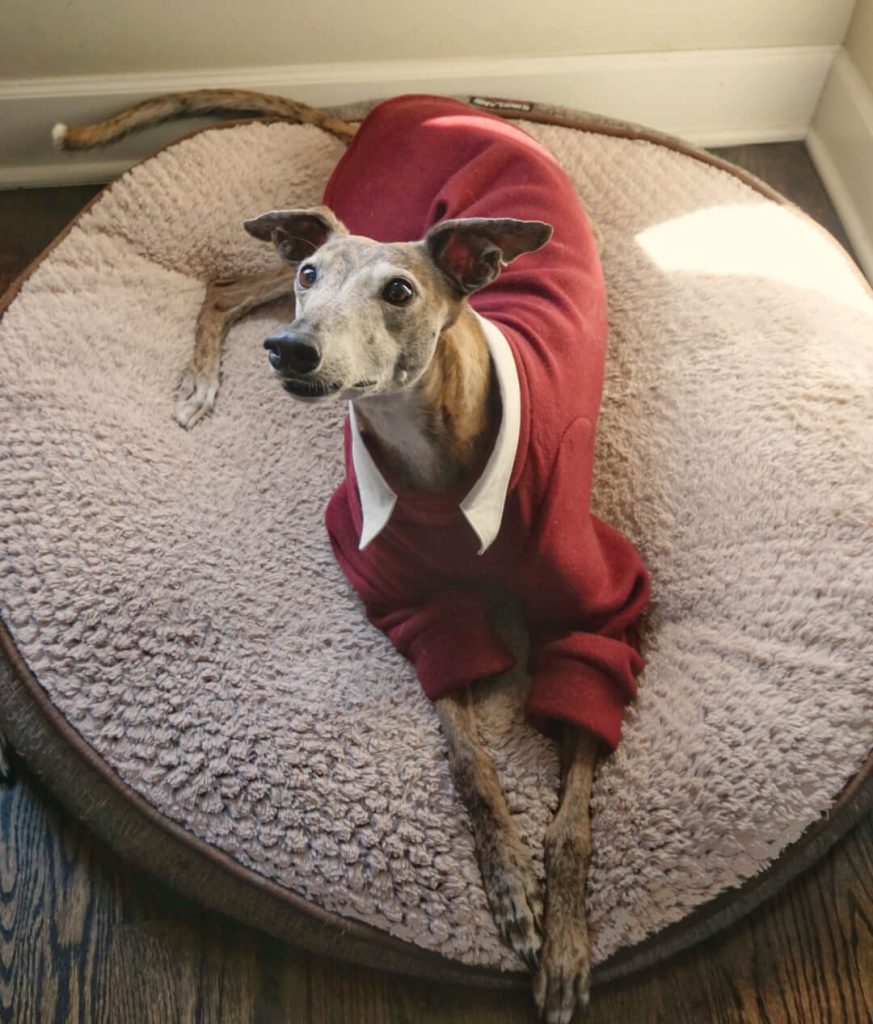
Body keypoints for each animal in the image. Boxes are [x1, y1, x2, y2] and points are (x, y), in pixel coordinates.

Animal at [54, 92, 650, 1019]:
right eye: (314, 279)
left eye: (399, 291)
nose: (291, 352)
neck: (434, 448)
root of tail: (407, 103)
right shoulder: (412, 598)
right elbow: (470, 762)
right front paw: (511, 890)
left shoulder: (601, 606)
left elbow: (574, 818)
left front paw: (563, 941)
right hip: (319, 228)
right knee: (223, 286)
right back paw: (201, 381)